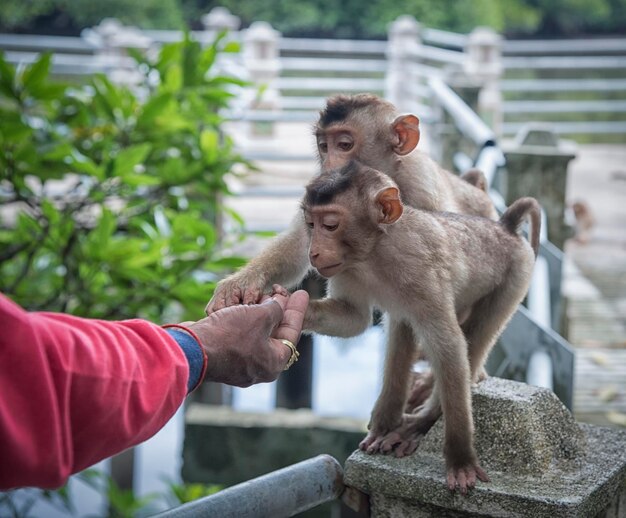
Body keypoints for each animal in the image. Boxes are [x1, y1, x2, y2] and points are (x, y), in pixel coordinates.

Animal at [294, 160, 540, 494]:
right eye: (311, 224)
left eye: (330, 225)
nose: (314, 251)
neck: (376, 252)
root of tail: (505, 227)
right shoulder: (346, 269)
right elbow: (352, 318)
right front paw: (286, 306)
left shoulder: (420, 270)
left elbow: (448, 345)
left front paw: (460, 459)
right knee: (403, 324)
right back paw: (388, 420)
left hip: (517, 274)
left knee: (473, 340)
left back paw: (422, 421)